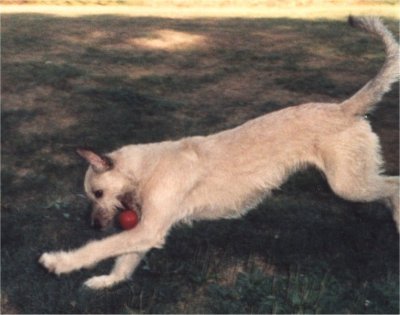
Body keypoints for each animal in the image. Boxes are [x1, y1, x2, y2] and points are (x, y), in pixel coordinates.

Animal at [40, 16, 400, 290]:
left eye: (97, 193)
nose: (93, 226)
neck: (146, 168)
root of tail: (344, 108)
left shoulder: (147, 228)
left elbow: (101, 248)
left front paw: (59, 262)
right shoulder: (145, 231)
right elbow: (123, 260)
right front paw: (106, 281)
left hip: (348, 185)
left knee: (394, 186)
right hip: (356, 180)